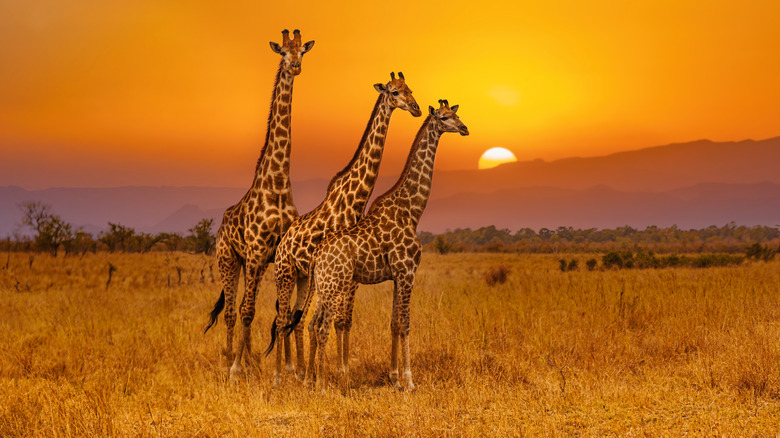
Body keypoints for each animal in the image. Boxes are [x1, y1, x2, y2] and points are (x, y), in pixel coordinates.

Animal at [203, 30, 316, 380]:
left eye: (302, 52)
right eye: (283, 52)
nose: (295, 67)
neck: (277, 183)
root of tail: (221, 224)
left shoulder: (277, 254)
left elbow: (284, 311)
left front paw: (290, 368)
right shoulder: (254, 252)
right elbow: (249, 310)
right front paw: (236, 368)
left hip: (252, 263)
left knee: (241, 307)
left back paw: (251, 359)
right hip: (229, 259)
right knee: (232, 310)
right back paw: (231, 359)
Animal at [266, 71, 420, 384]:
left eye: (409, 89)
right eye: (394, 92)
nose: (415, 108)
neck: (354, 200)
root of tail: (283, 242)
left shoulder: (352, 275)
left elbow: (344, 321)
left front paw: (340, 370)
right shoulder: (344, 273)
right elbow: (336, 321)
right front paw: (336, 373)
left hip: (304, 278)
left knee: (295, 320)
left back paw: (298, 371)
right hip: (285, 273)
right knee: (284, 318)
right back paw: (280, 375)